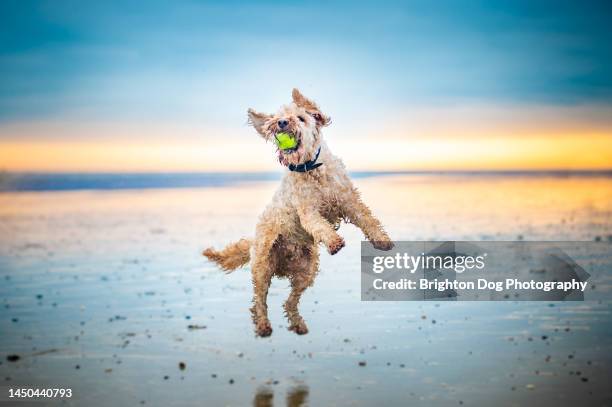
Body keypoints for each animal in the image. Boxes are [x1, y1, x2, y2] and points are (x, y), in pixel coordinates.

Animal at [203, 88, 394, 338]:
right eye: (277, 118)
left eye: (301, 118)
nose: (282, 122)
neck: (311, 168)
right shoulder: (307, 210)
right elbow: (319, 225)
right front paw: (334, 241)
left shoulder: (348, 199)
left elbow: (367, 219)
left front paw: (382, 240)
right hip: (262, 265)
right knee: (259, 301)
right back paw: (263, 326)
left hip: (307, 271)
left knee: (289, 302)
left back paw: (297, 324)